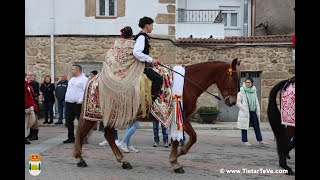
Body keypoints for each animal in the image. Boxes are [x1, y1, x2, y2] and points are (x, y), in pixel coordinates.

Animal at [74, 58, 241, 173]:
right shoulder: (181, 117)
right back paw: (80, 158)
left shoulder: (179, 119)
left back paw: (123, 161)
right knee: (82, 132)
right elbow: (192, 137)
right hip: (98, 115)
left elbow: (180, 139)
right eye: (233, 78)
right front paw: (177, 158)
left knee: (108, 135)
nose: (232, 102)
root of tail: (94, 79)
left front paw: (175, 159)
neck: (187, 83)